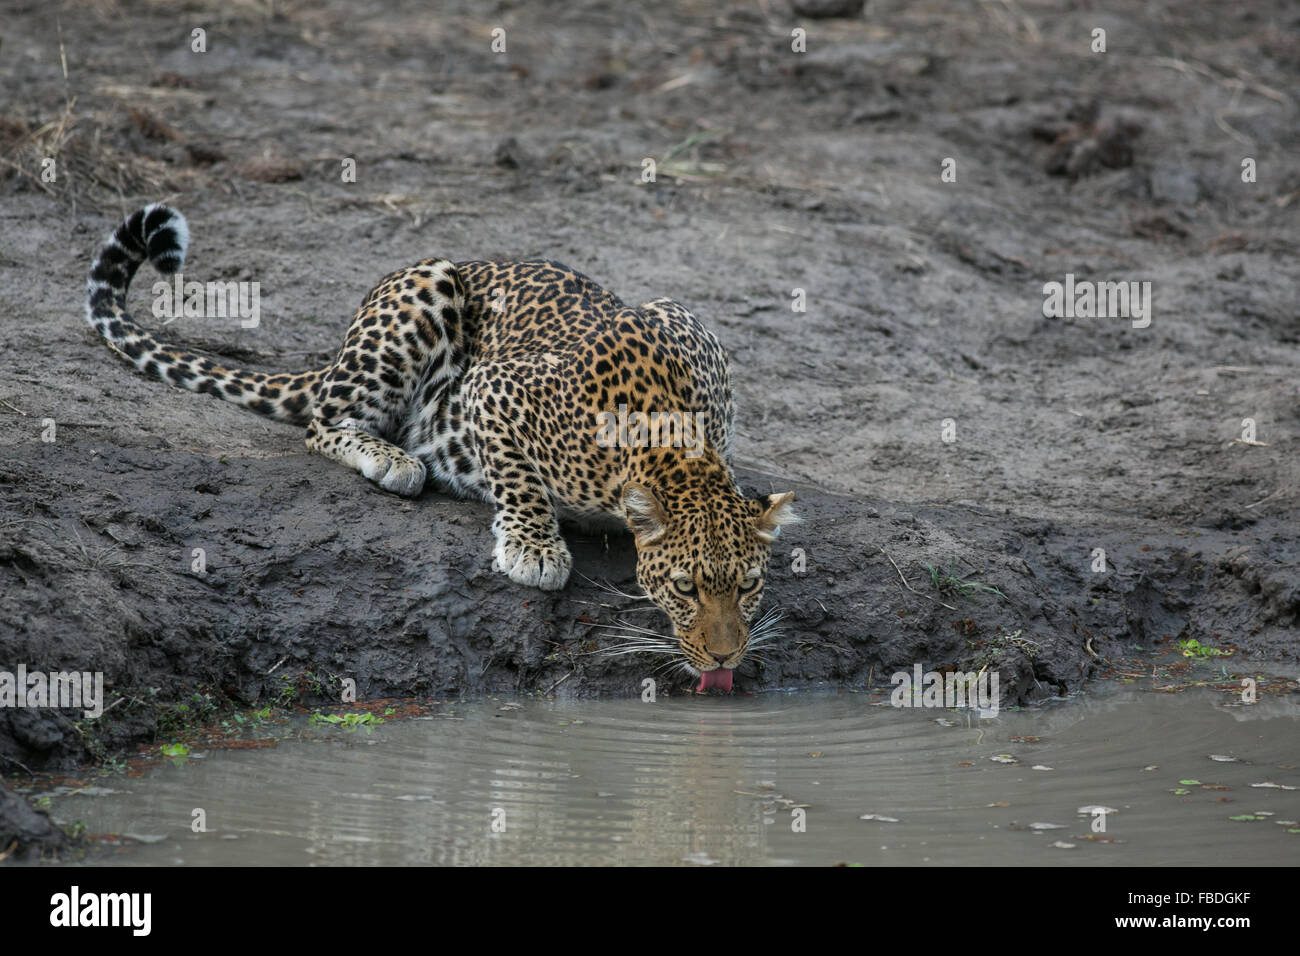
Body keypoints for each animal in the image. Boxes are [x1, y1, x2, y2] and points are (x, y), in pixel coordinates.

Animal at [86, 205, 795, 691]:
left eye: (749, 585)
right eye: (685, 588)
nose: (726, 656)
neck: (675, 448)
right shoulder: (496, 390)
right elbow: (518, 476)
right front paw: (534, 549)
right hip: (426, 288)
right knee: (324, 420)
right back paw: (394, 460)